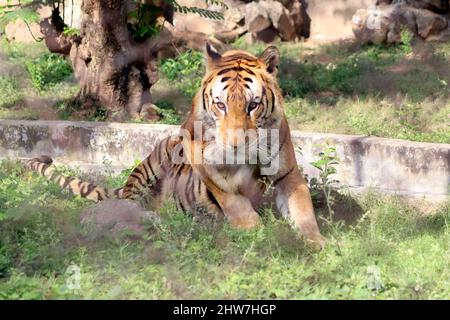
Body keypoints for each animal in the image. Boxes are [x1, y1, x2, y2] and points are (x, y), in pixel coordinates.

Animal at [25, 42, 326, 250]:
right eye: (221, 105)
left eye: (253, 105)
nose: (236, 145)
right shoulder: (198, 153)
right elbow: (232, 198)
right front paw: (252, 230)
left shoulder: (287, 172)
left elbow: (302, 209)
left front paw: (316, 242)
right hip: (155, 159)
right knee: (131, 204)